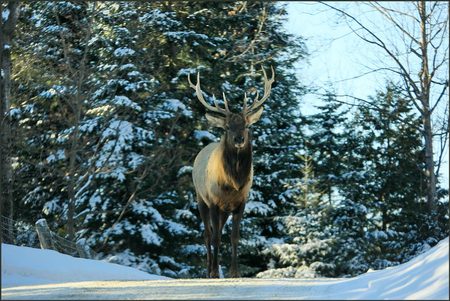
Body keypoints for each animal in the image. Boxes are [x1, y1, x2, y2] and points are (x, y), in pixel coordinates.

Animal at [186, 67, 274, 278]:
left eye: (247, 125)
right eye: (227, 127)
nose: (239, 139)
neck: (233, 182)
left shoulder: (241, 202)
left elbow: (234, 237)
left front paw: (235, 272)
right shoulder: (214, 201)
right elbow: (216, 237)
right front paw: (215, 272)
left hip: (224, 210)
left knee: (217, 231)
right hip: (201, 198)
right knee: (208, 234)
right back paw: (209, 269)